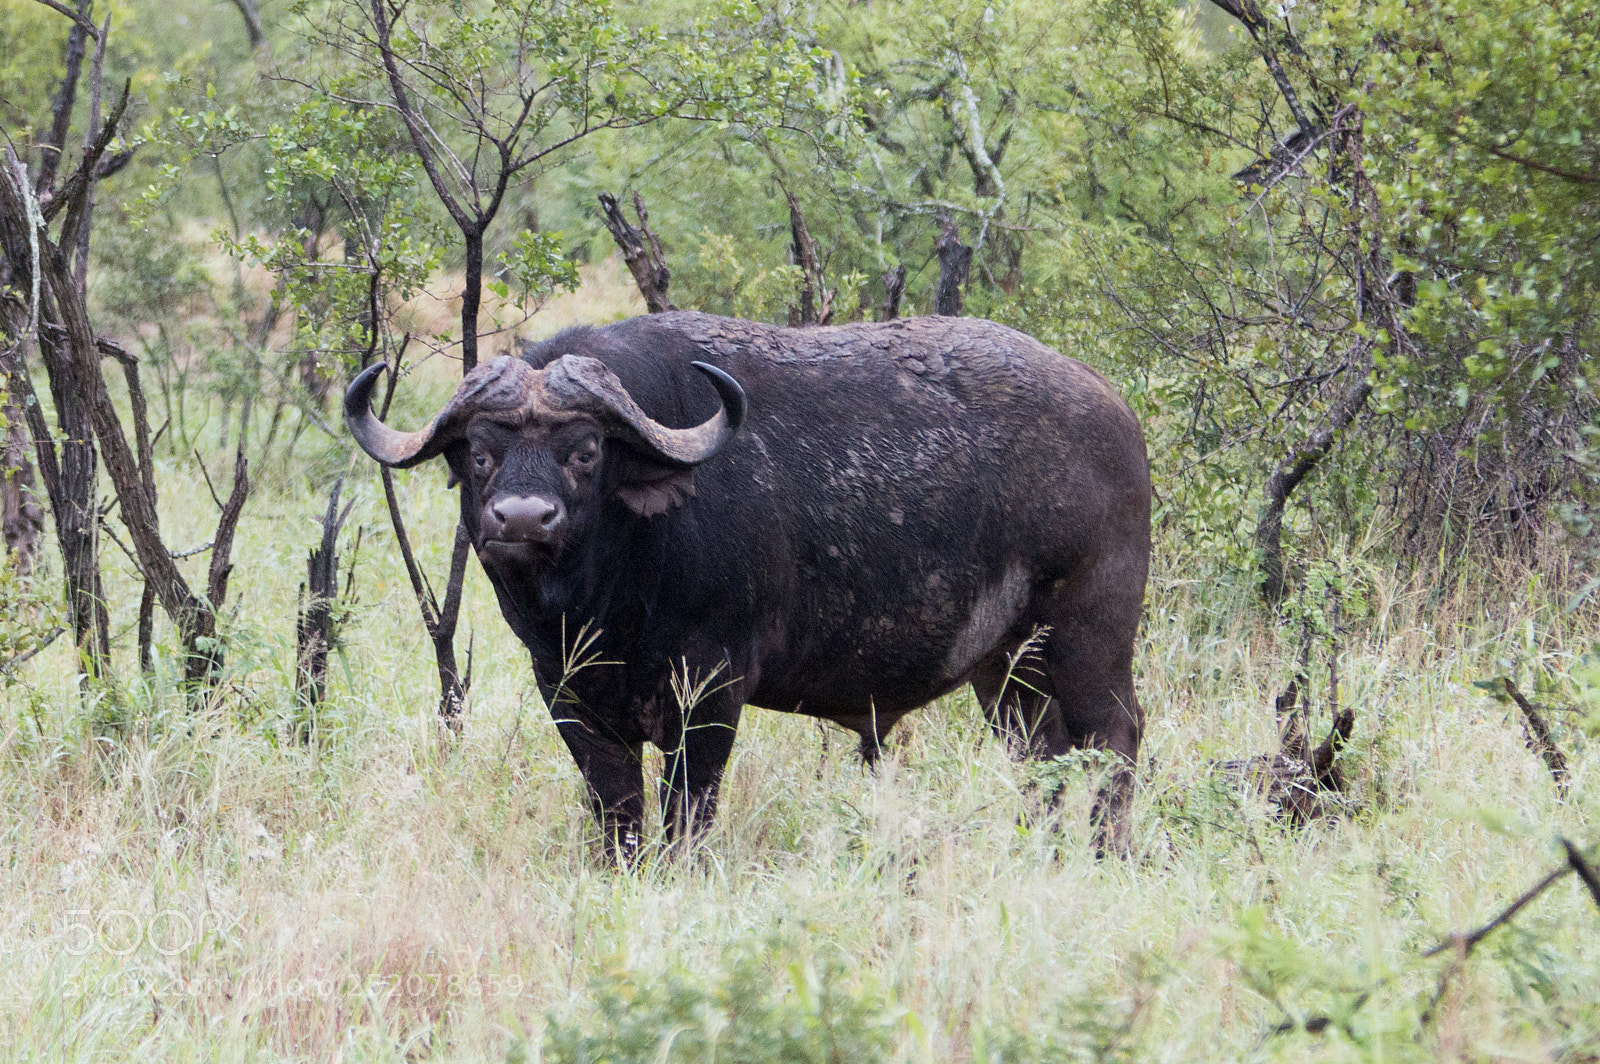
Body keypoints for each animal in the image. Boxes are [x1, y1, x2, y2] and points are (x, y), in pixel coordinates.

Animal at [346, 312, 1150, 858]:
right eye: (480, 454)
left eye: (585, 451)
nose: (522, 518)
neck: (610, 602)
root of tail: (1114, 412)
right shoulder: (569, 696)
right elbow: (617, 813)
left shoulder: (710, 692)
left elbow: (686, 815)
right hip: (1006, 670)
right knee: (1044, 756)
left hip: (1091, 640)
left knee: (1113, 739)